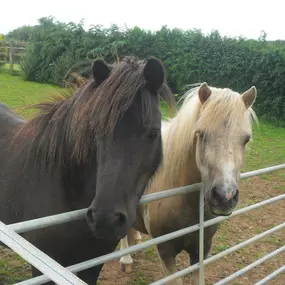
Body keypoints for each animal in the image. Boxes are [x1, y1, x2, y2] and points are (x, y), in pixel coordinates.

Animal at [118, 82, 256, 284]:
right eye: (201, 135)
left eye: (246, 139)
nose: (225, 197)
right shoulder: (166, 252)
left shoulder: (201, 249)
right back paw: (126, 259)